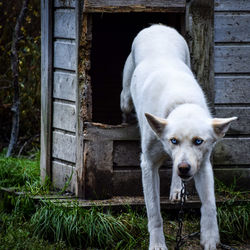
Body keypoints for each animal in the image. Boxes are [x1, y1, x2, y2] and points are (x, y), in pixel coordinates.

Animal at [120, 24, 237, 250]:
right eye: (173, 140)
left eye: (198, 141)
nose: (184, 167)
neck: (181, 102)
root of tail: (157, 26)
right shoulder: (148, 164)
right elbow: (154, 214)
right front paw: (157, 244)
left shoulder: (203, 165)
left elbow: (210, 205)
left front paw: (210, 238)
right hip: (126, 98)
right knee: (125, 103)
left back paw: (177, 189)